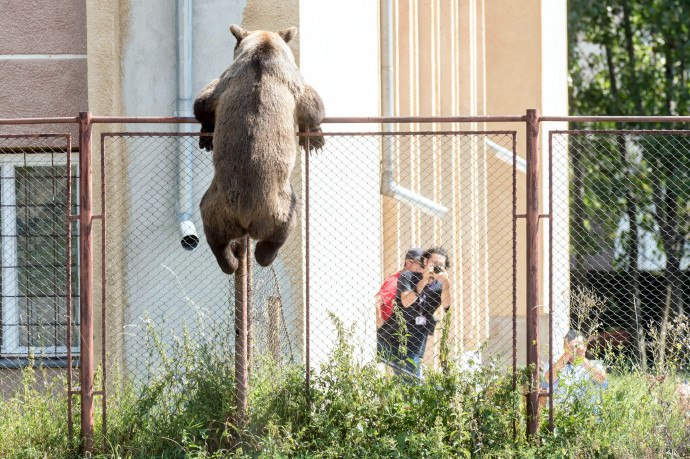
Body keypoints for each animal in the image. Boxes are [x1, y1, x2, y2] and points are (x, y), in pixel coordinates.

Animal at [192, 25, 324, 274]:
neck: (264, 48)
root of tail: (245, 217)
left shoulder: (225, 85)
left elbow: (202, 104)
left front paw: (206, 136)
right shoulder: (290, 81)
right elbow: (313, 105)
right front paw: (315, 138)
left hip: (216, 204)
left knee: (214, 233)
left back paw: (230, 259)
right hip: (277, 206)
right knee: (284, 226)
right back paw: (263, 253)